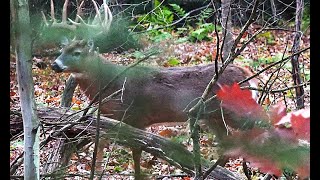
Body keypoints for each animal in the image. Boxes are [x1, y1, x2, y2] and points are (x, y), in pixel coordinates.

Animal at [45, 0, 260, 179]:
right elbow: (100, 148)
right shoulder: (111, 119)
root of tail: (245, 70)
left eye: (77, 52)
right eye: (61, 50)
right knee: (228, 145)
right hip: (213, 117)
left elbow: (136, 154)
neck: (113, 84)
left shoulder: (136, 117)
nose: (55, 65)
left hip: (234, 111)